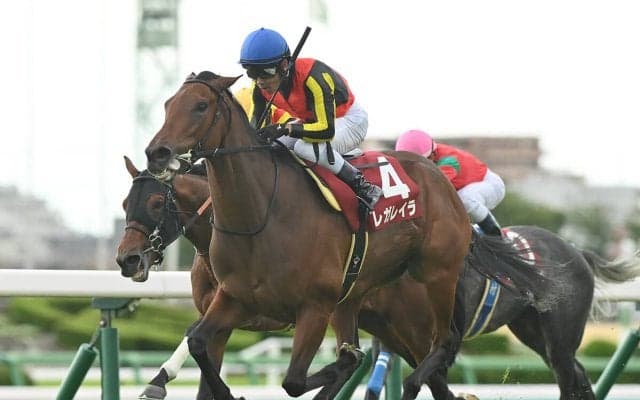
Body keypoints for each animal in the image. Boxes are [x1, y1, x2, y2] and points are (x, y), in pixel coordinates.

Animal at [140, 71, 555, 400]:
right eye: (167, 104)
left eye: (200, 106)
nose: (156, 152)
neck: (261, 216)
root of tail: (438, 179)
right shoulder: (234, 298)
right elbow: (197, 341)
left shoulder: (313, 307)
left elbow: (297, 379)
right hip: (358, 299)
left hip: (434, 279)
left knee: (444, 343)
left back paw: (411, 381)